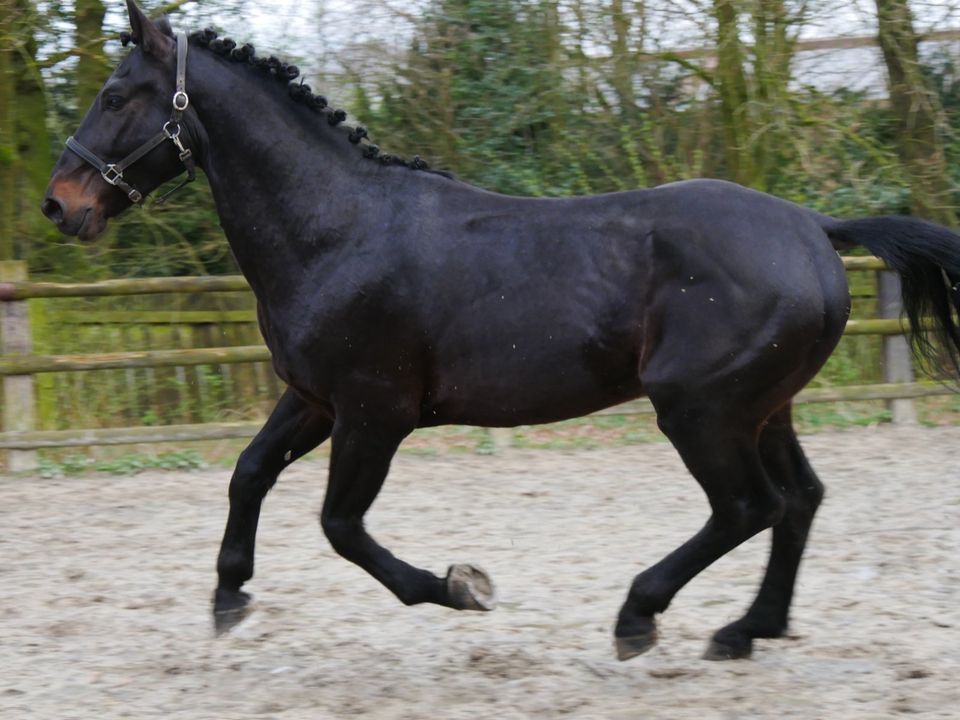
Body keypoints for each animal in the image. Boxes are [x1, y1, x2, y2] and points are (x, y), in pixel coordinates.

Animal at [43, 1, 960, 664]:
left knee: (748, 506)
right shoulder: (314, 400)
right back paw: (743, 632)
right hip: (764, 407)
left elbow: (342, 527)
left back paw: (640, 616)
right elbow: (248, 473)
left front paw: (460, 586)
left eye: (116, 96)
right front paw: (230, 597)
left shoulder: (375, 412)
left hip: (701, 409)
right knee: (798, 501)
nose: (60, 204)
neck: (337, 230)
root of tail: (813, 227)